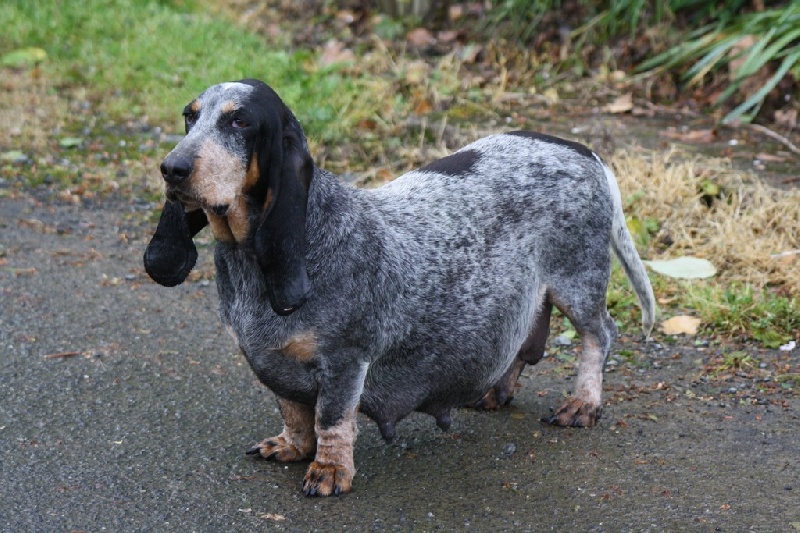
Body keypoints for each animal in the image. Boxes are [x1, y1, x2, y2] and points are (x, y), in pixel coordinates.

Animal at [144, 79, 655, 497]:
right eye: (190, 116)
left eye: (241, 121)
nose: (172, 168)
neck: (251, 258)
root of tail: (583, 151)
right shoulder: (275, 363)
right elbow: (294, 411)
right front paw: (291, 446)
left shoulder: (346, 360)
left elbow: (331, 420)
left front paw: (330, 472)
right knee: (528, 342)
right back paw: (495, 392)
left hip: (577, 282)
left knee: (600, 334)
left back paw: (583, 404)